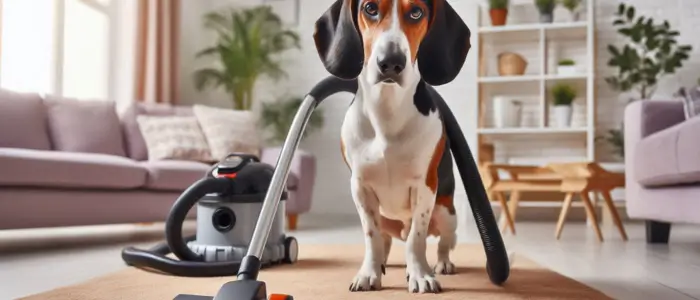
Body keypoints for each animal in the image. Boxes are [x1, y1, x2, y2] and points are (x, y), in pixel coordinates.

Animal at [314, 0, 474, 292]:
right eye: (370, 8)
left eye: (416, 12)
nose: (391, 62)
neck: (387, 111)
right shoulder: (360, 188)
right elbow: (371, 237)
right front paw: (369, 273)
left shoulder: (425, 187)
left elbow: (416, 239)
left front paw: (420, 274)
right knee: (384, 239)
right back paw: (383, 262)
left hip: (446, 212)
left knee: (444, 241)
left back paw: (442, 264)